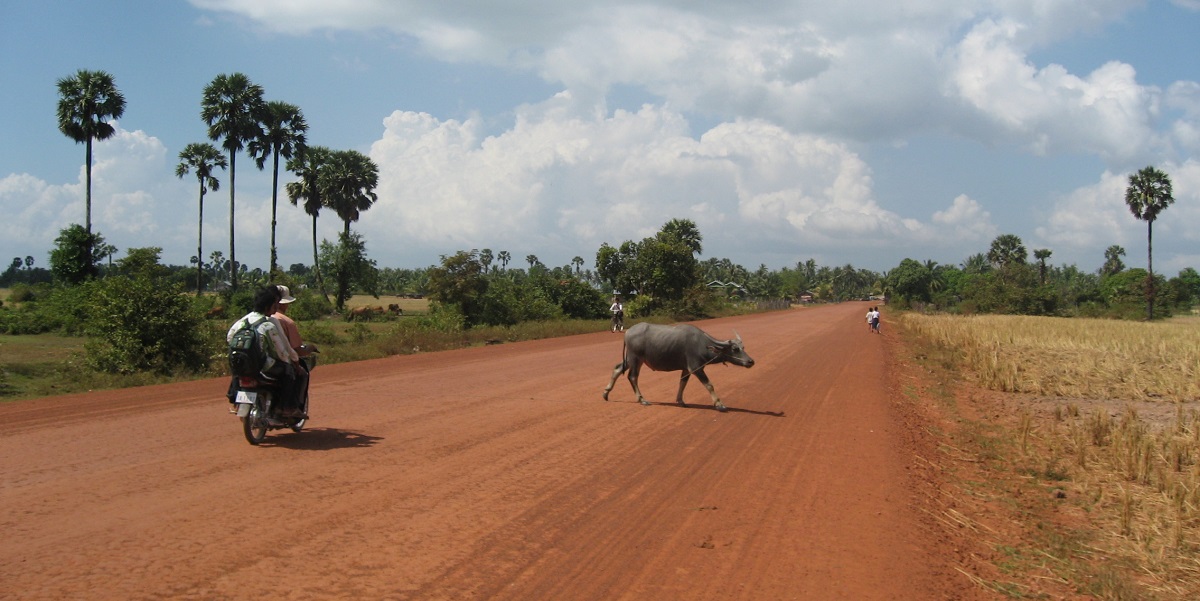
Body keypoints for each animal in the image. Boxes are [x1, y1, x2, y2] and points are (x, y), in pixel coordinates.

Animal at [604, 321, 753, 410]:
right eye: (735, 349)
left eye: (743, 347)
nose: (751, 361)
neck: (702, 344)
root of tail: (628, 332)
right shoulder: (696, 368)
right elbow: (709, 385)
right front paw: (719, 404)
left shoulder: (686, 369)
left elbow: (683, 383)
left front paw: (680, 400)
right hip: (635, 358)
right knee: (633, 377)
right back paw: (642, 399)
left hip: (631, 359)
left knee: (617, 369)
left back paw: (606, 393)